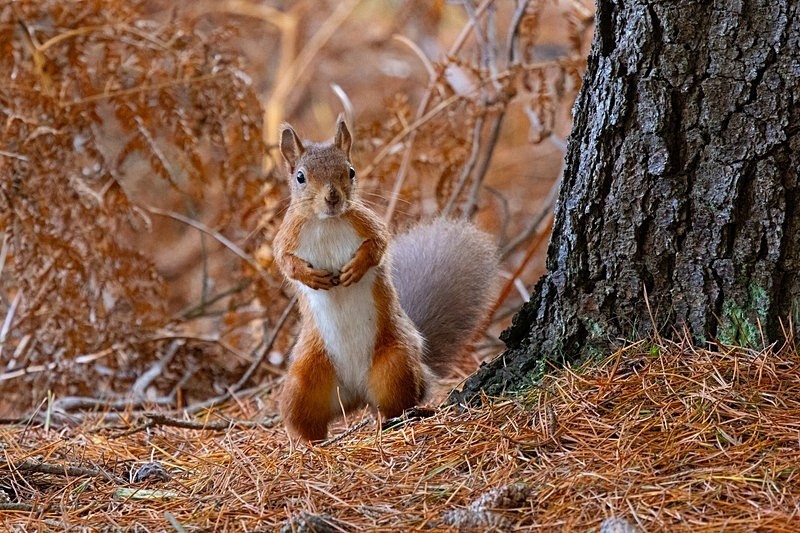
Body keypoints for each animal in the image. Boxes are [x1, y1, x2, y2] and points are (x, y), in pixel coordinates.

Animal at [273, 115, 498, 442]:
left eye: (350, 171)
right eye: (300, 177)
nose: (332, 197)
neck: (327, 223)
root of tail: (355, 395)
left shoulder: (369, 224)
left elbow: (378, 246)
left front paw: (355, 268)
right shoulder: (286, 237)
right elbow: (286, 263)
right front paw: (311, 277)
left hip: (395, 365)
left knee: (396, 403)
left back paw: (397, 419)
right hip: (303, 382)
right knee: (304, 421)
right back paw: (310, 444)